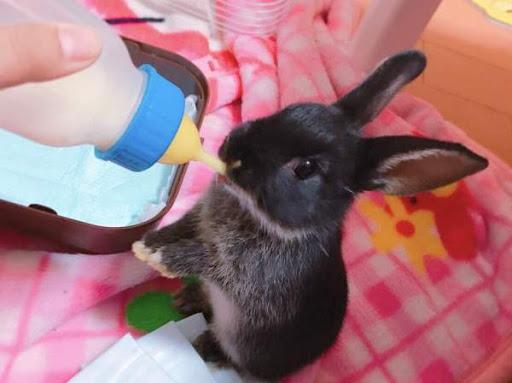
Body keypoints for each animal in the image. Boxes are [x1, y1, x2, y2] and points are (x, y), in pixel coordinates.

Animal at [132, 51, 488, 383]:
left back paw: (207, 345)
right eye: (289, 110)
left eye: (305, 169)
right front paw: (147, 244)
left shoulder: (250, 274)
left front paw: (161, 258)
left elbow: (211, 260)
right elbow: (183, 225)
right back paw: (187, 298)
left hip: (244, 347)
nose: (232, 151)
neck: (255, 213)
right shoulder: (201, 216)